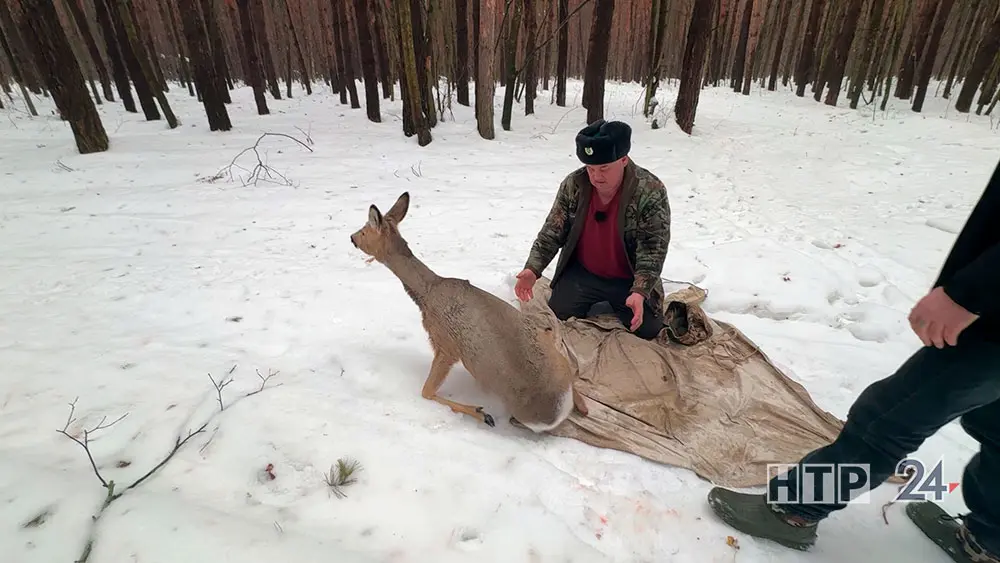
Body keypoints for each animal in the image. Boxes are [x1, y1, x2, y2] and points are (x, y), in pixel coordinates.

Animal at [350, 194, 588, 432]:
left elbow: (426, 392)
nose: (352, 237)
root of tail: (561, 408)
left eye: (365, 229)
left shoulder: (446, 345)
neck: (428, 293)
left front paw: (481, 412)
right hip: (549, 345)